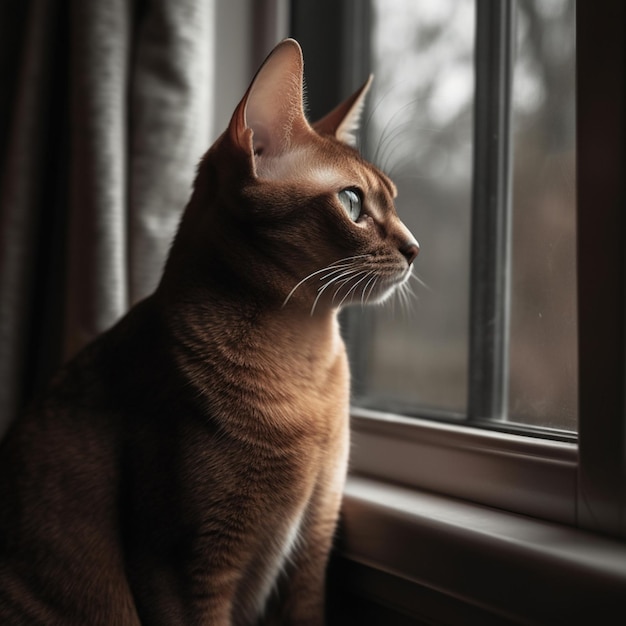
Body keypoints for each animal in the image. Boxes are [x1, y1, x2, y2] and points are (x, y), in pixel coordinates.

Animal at [1, 39, 420, 624]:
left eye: (394, 201)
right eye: (353, 202)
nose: (414, 248)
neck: (304, 366)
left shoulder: (311, 554)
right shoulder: (180, 571)